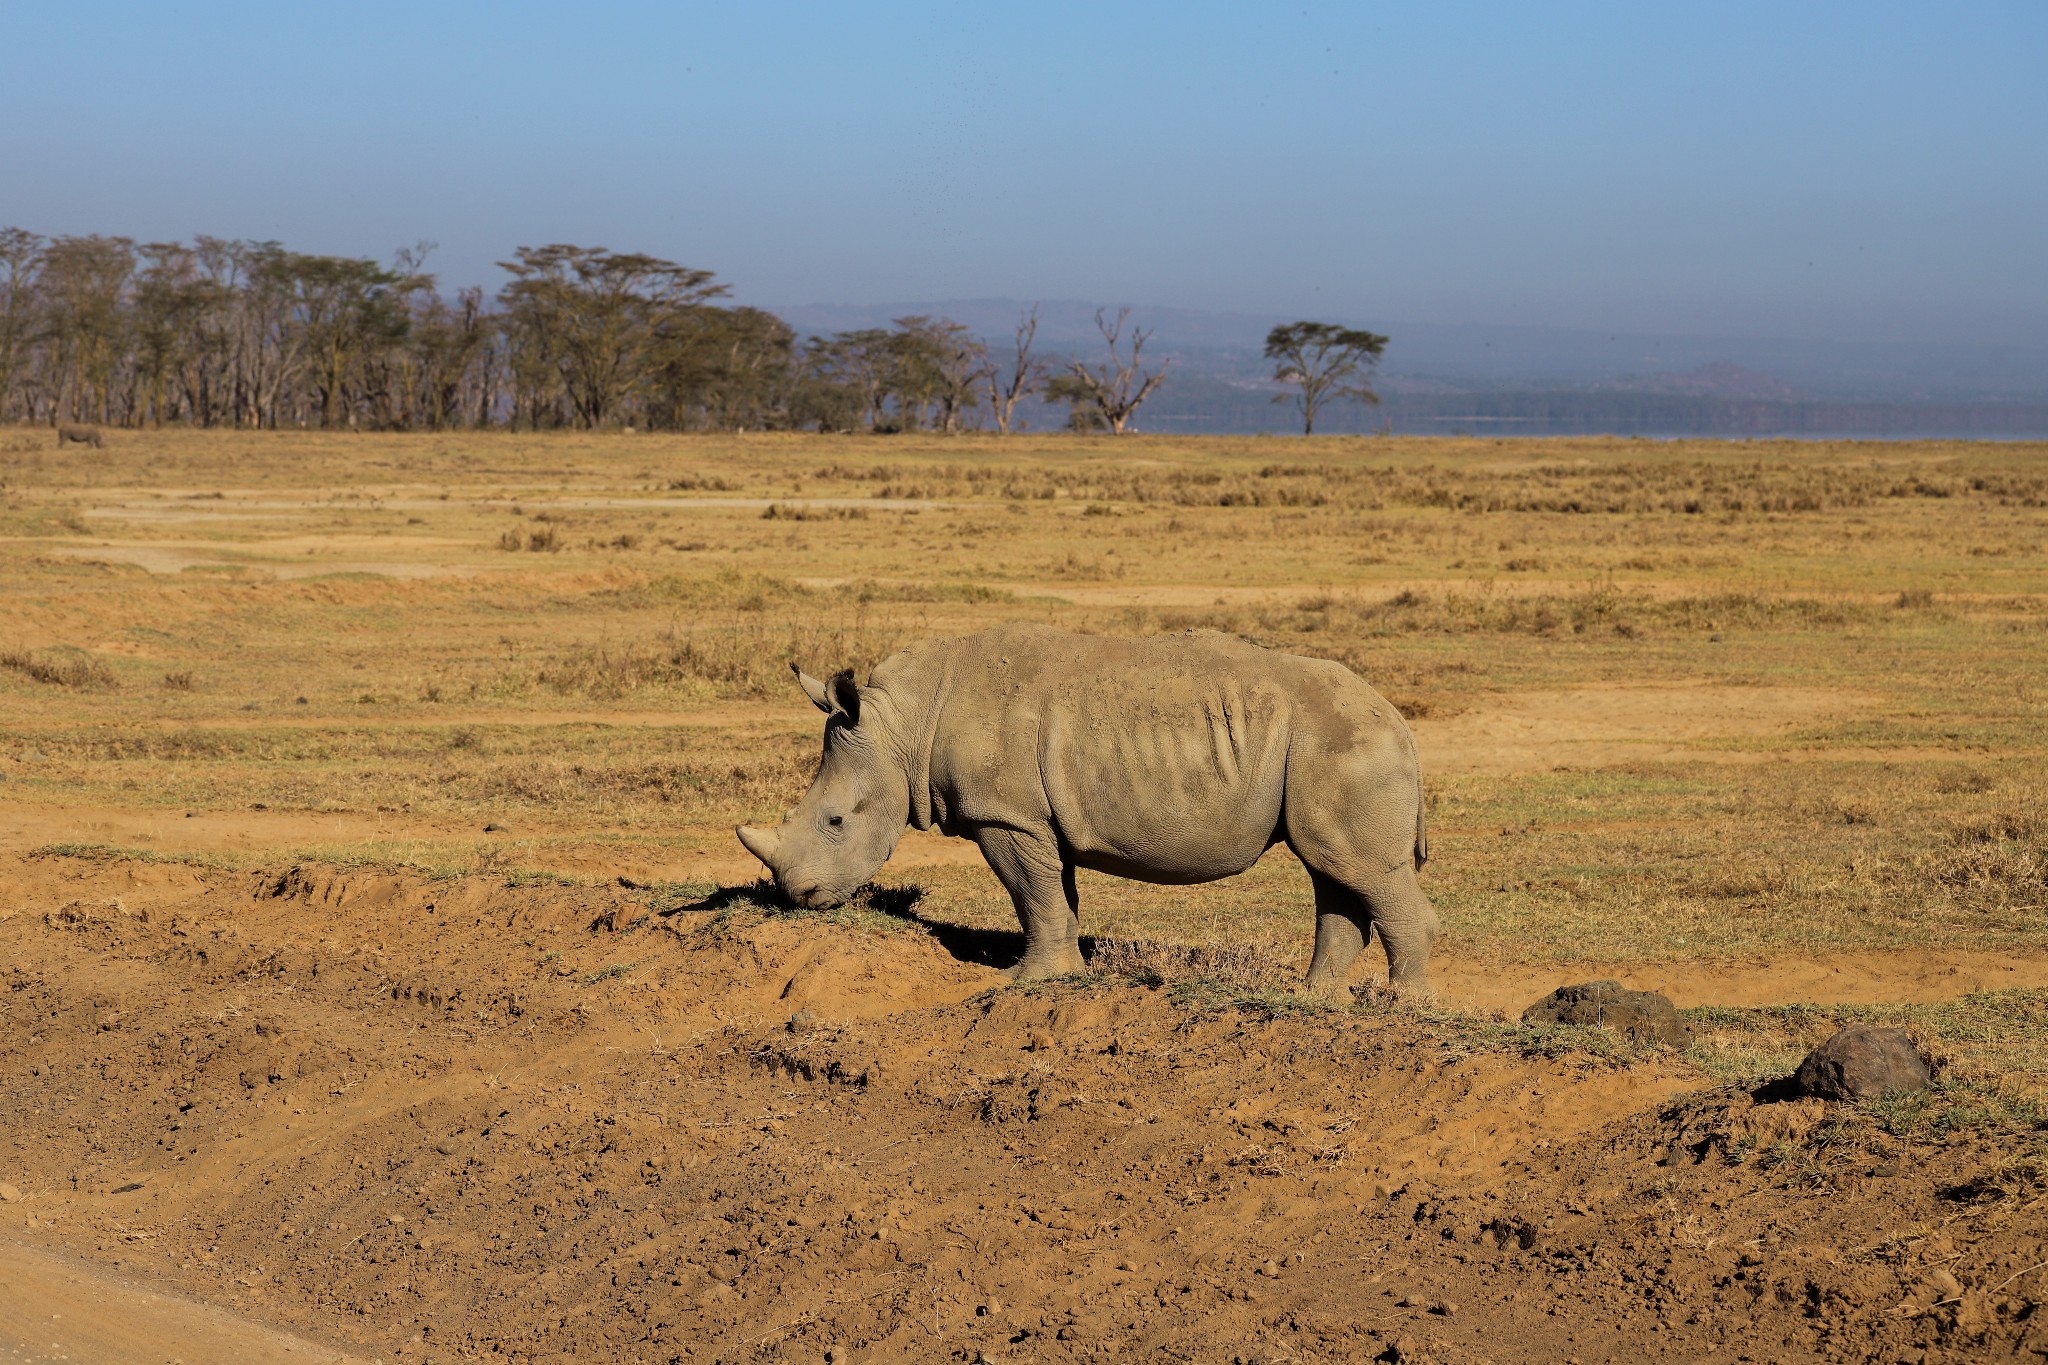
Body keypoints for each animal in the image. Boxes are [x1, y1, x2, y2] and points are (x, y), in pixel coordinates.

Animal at [741, 626, 1441, 998]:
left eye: (836, 822)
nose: (797, 895)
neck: (904, 725)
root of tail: (1402, 725)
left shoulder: (1005, 814)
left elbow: (1029, 891)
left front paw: (1022, 980)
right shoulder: (1034, 816)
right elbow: (1056, 892)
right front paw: (1066, 971)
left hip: (1345, 746)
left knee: (1359, 870)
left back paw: (1398, 1007)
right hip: (1331, 749)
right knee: (1334, 870)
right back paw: (1314, 999)